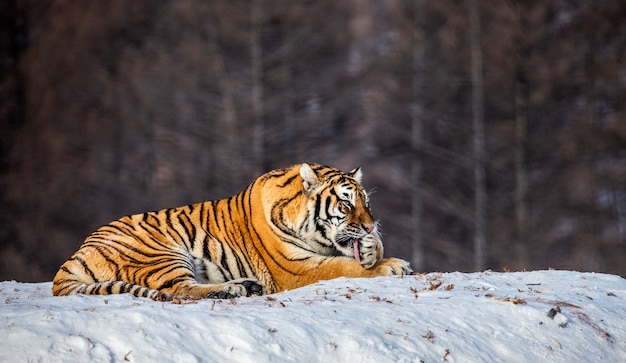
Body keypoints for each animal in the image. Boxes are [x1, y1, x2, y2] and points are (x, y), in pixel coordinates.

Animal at [53, 164, 412, 302]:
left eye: (366, 203)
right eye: (346, 203)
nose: (370, 225)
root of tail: (75, 255)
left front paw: (373, 248)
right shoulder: (297, 269)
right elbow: (344, 266)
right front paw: (393, 265)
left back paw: (246, 286)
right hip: (161, 253)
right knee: (179, 290)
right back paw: (231, 290)